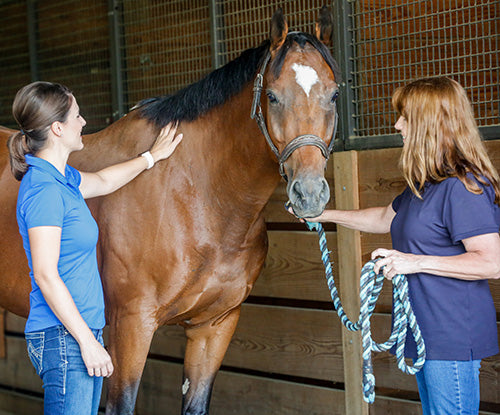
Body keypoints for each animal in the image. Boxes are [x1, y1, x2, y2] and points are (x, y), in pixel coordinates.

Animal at [0, 7, 340, 415]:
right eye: (272, 97)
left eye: (335, 94)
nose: (309, 193)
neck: (200, 196)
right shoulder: (131, 325)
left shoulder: (214, 326)